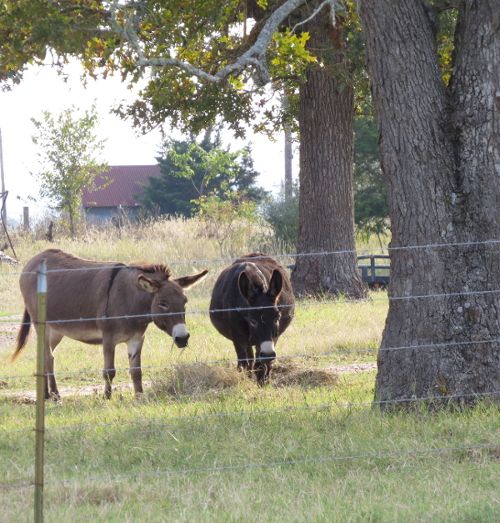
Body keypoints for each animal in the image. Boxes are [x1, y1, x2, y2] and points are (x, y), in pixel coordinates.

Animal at [12, 249, 208, 400]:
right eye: (163, 304)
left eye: (185, 302)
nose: (183, 338)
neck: (131, 300)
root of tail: (32, 261)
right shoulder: (108, 338)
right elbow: (109, 371)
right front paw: (106, 397)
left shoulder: (137, 338)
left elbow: (136, 371)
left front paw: (139, 397)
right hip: (41, 325)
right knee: (48, 357)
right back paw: (55, 395)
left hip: (57, 331)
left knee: (45, 357)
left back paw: (46, 394)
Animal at [209, 253, 295, 384]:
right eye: (253, 321)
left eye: (277, 317)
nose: (268, 354)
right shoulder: (238, 337)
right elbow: (246, 363)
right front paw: (248, 381)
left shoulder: (272, 337)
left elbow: (261, 364)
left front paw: (263, 382)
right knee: (247, 360)